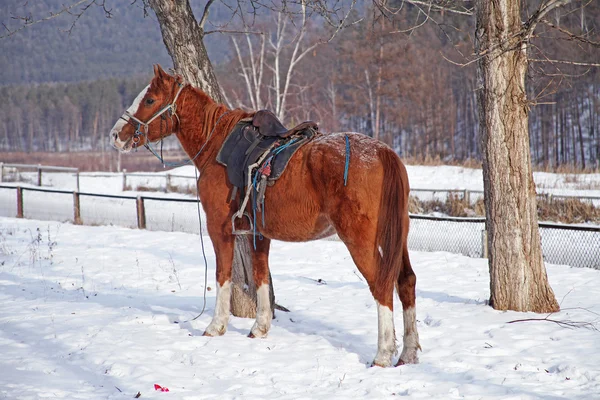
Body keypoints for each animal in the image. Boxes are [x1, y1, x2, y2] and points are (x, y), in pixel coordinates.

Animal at [111, 65, 422, 368]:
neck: (218, 145)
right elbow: (260, 276)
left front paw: (216, 326)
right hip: (397, 238)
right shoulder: (258, 233)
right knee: (406, 281)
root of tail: (383, 152)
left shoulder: (219, 228)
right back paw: (408, 353)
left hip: (360, 240)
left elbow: (223, 275)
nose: (115, 135)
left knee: (381, 285)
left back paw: (383, 353)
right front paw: (260, 327)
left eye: (150, 100)